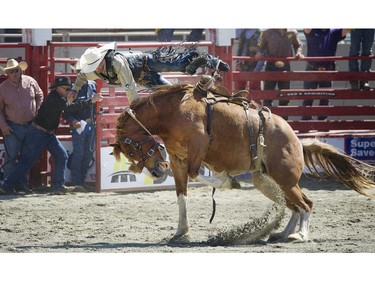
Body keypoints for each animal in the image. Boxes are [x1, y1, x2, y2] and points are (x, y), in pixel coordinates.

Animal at [111, 80, 375, 241]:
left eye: (132, 148)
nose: (156, 171)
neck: (174, 112)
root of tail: (298, 142)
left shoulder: (198, 146)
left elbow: (199, 174)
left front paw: (230, 181)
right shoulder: (177, 161)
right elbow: (181, 195)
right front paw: (181, 232)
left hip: (285, 180)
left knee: (306, 204)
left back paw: (299, 235)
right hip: (270, 182)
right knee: (295, 207)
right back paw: (282, 234)